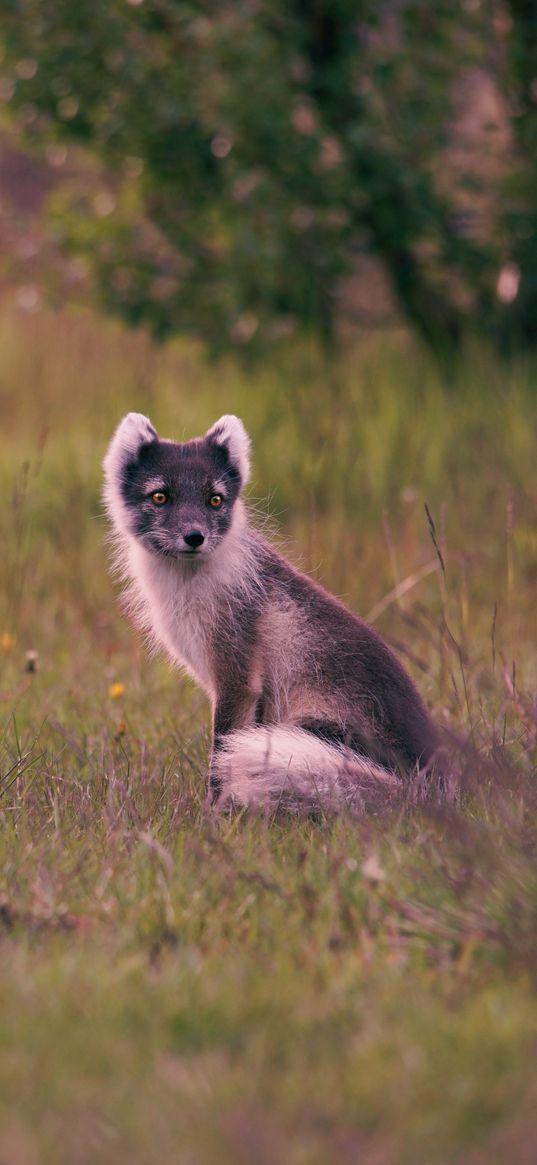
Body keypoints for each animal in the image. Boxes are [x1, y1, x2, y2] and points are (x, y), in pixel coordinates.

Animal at [102, 417, 437, 810]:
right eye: (160, 496)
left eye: (215, 500)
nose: (195, 537)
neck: (189, 585)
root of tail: (429, 785)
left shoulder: (237, 677)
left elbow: (221, 751)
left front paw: (212, 813)